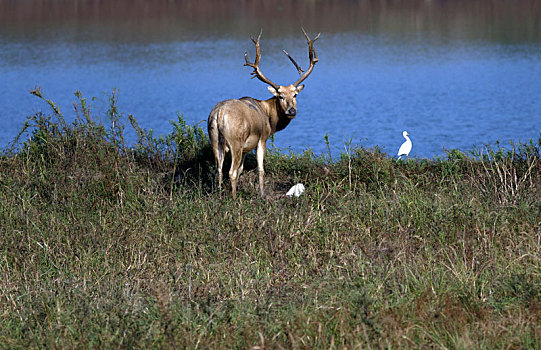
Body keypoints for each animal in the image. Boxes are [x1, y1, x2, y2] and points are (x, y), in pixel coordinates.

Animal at [206, 29, 316, 197]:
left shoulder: (247, 147)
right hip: (235, 141)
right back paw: (233, 197)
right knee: (230, 172)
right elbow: (260, 169)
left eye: (295, 95)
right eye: (280, 96)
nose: (292, 110)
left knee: (218, 169)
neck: (269, 117)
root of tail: (219, 113)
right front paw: (262, 194)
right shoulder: (262, 138)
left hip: (214, 139)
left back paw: (219, 194)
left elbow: (241, 169)